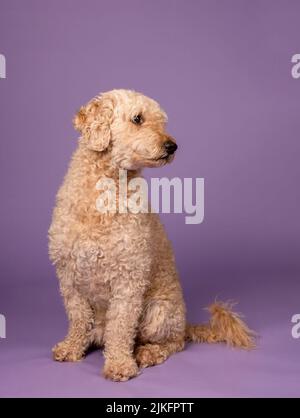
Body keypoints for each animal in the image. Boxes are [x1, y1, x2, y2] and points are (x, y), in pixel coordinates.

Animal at [48, 89, 254, 382]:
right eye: (138, 119)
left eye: (162, 122)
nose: (172, 146)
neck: (106, 187)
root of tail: (184, 323)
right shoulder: (68, 275)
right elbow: (77, 318)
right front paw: (72, 347)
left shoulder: (128, 278)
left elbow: (121, 327)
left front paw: (120, 364)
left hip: (159, 312)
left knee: (173, 342)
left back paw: (148, 352)